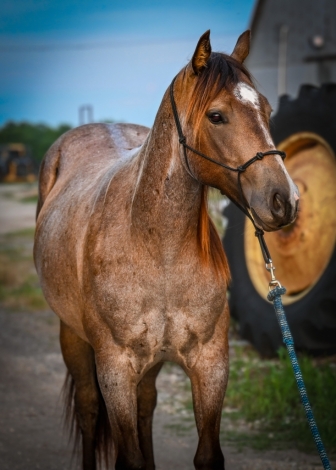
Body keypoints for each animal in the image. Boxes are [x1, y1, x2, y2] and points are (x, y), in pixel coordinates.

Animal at [34, 30, 298, 470]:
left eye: (266, 108)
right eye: (216, 116)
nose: (285, 200)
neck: (158, 250)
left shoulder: (210, 365)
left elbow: (206, 454)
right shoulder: (115, 369)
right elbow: (128, 456)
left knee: (146, 407)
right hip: (72, 337)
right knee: (88, 409)